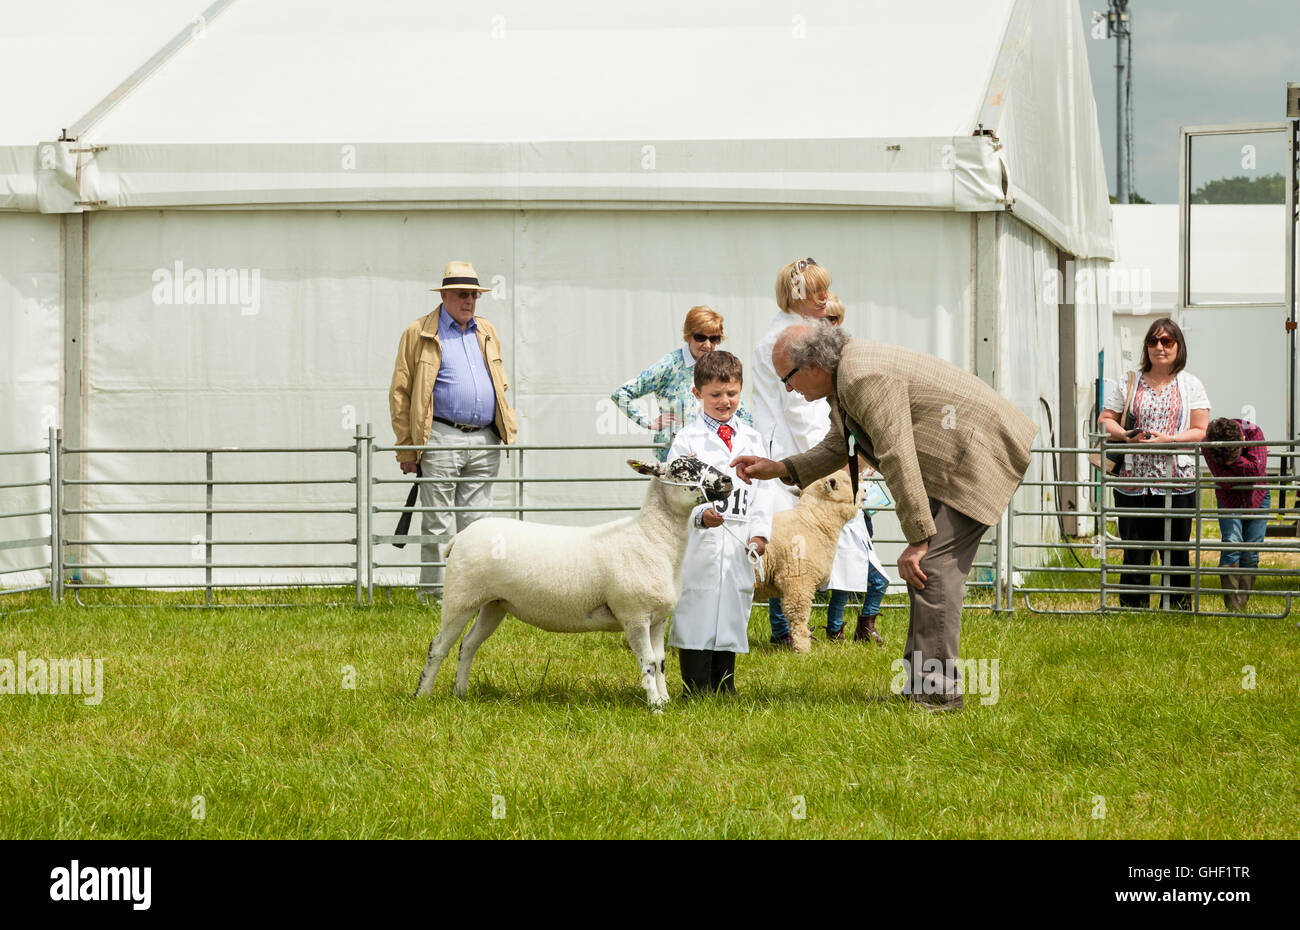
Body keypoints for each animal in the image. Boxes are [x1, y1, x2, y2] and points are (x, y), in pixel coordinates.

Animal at [413, 457, 733, 712]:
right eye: (682, 469)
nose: (728, 480)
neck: (650, 538)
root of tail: (460, 537)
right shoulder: (634, 616)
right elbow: (648, 663)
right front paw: (655, 706)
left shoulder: (658, 619)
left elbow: (660, 660)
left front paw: (664, 699)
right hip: (460, 597)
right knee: (438, 646)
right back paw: (422, 695)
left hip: (494, 604)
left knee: (467, 645)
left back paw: (460, 693)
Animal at [754, 473, 863, 655]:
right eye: (847, 482)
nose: (865, 491)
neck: (814, 522)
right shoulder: (798, 581)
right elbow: (798, 618)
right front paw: (803, 650)